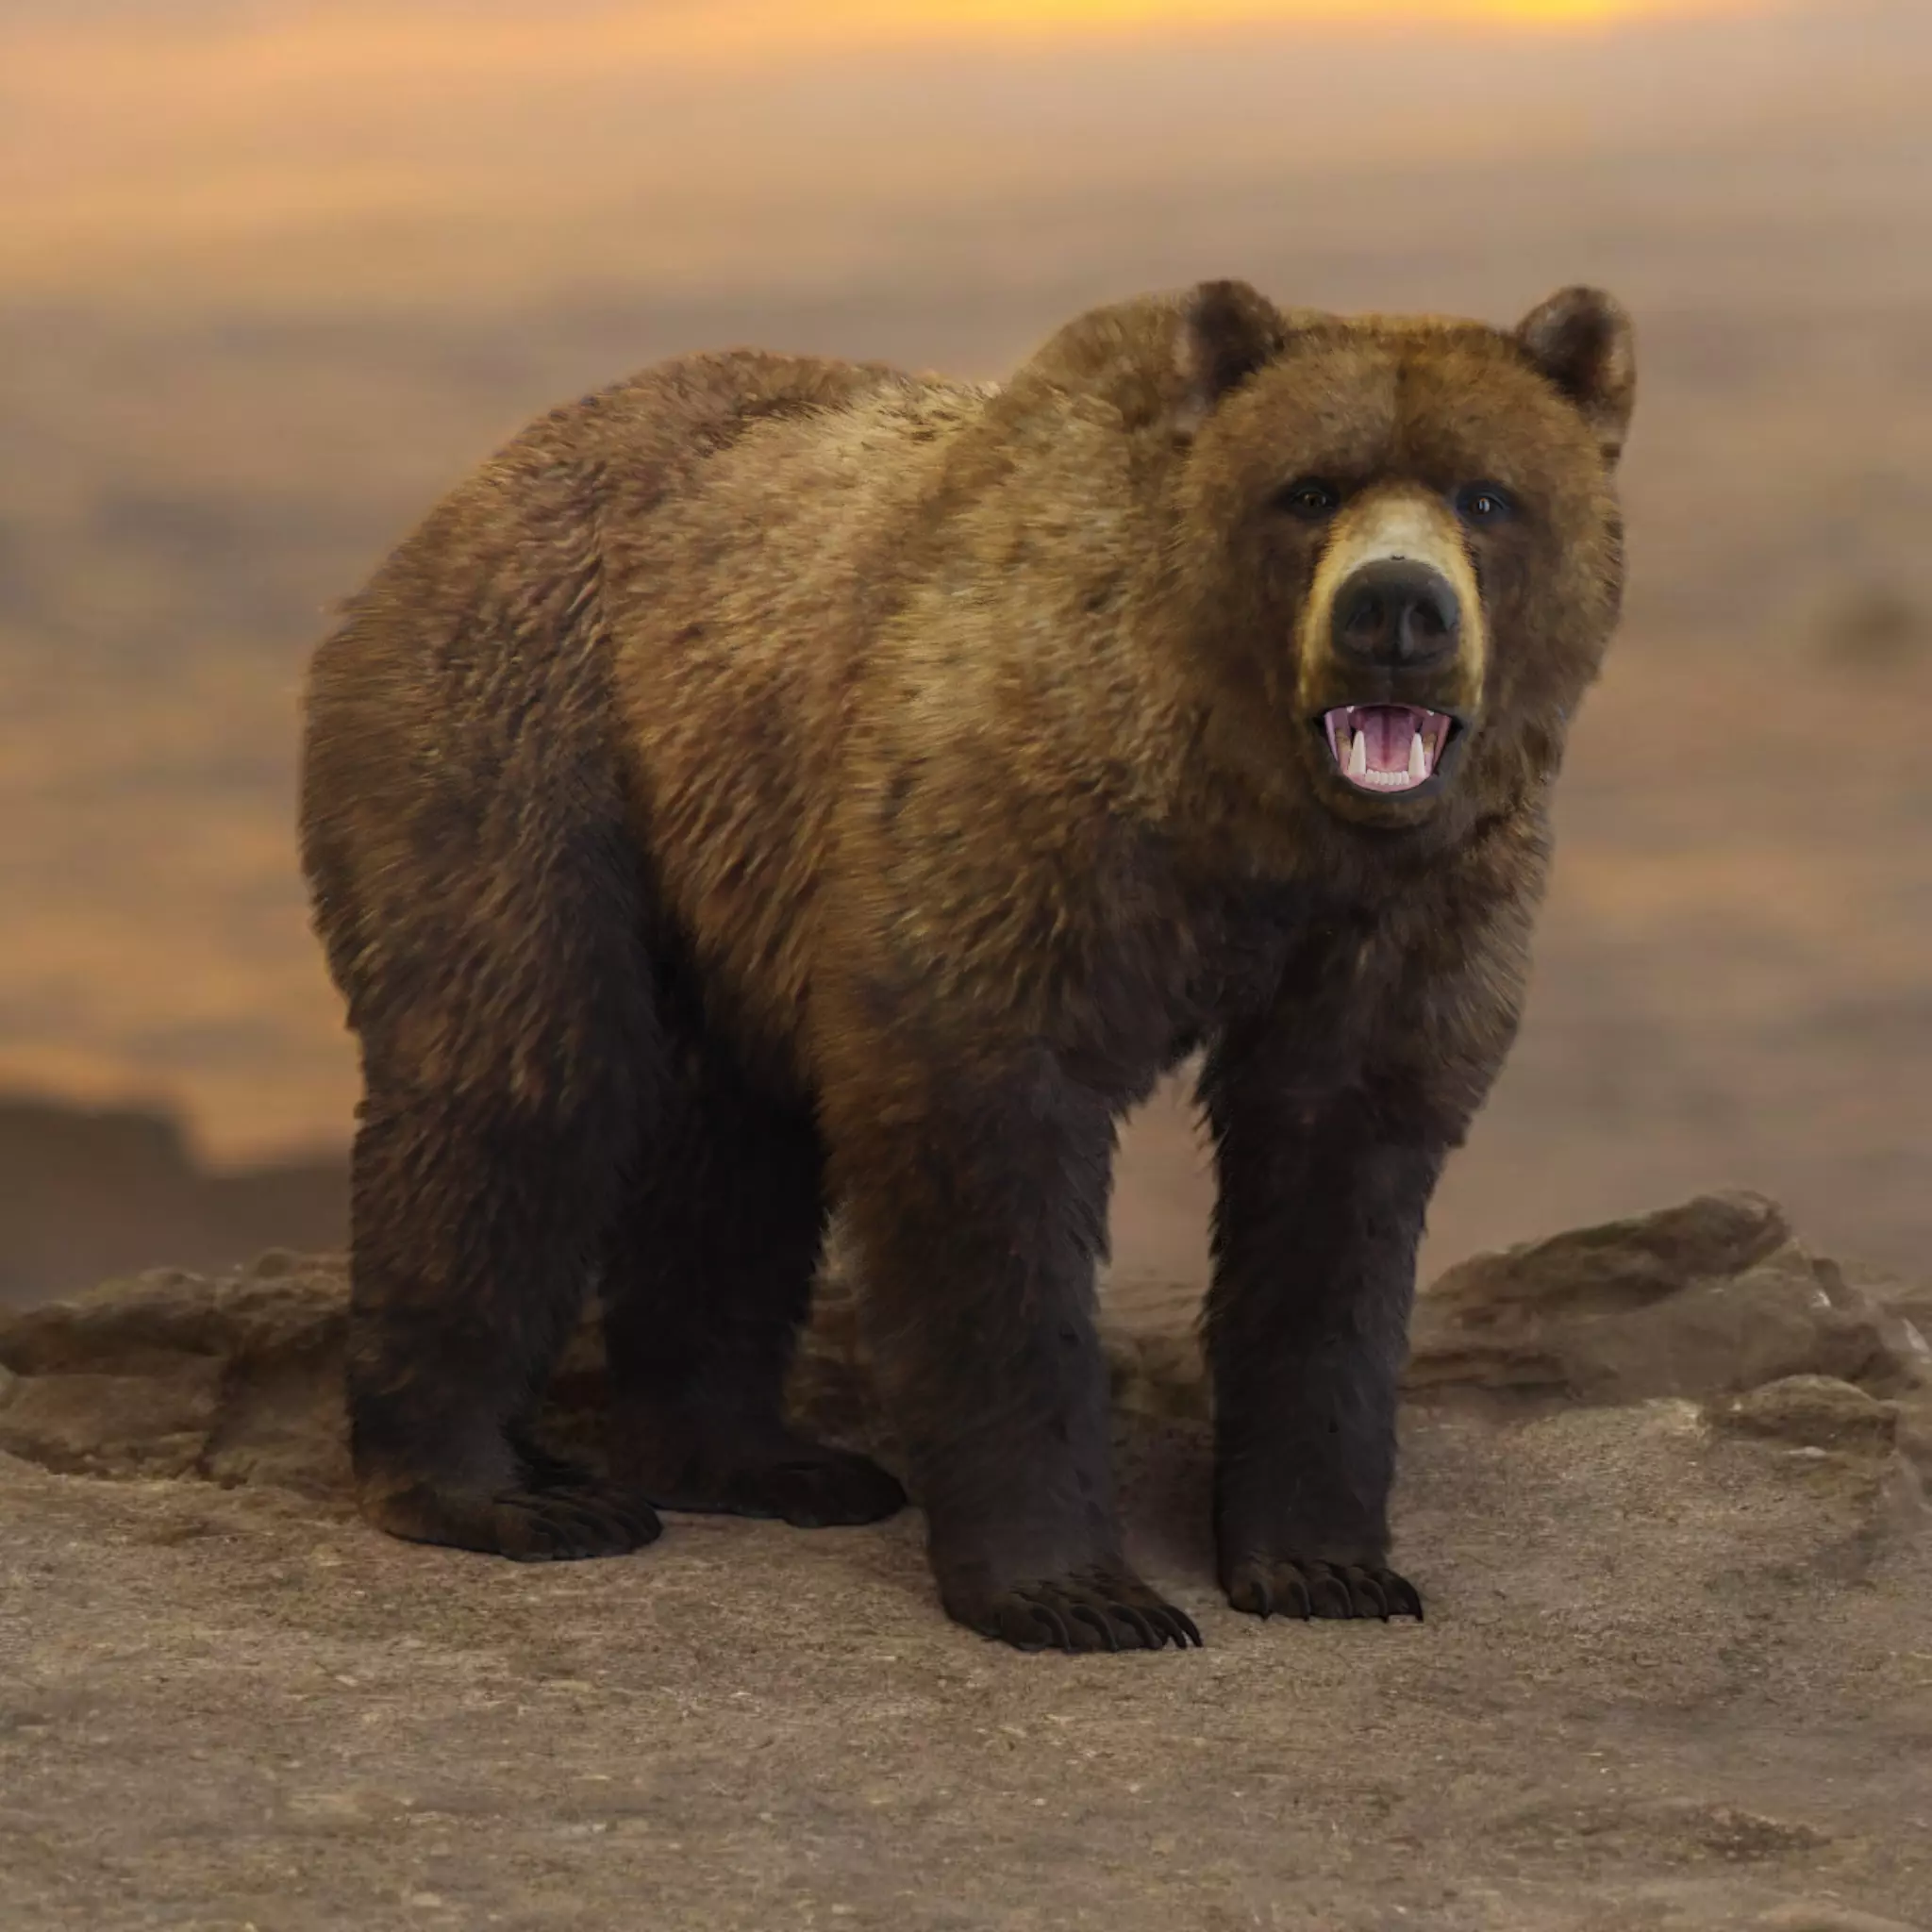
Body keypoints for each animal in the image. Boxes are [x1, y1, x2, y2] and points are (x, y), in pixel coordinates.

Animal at [299, 279, 1635, 1652]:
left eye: (1487, 495)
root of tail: (459, 497)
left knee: (730, 1143)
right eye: (1309, 489)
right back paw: (501, 1489)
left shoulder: (1412, 906)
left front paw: (1328, 1567)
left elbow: (1337, 1176)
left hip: (725, 852)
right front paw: (1074, 1592)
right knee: (523, 1073)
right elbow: (985, 1151)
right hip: (535, 736)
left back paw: (758, 1459)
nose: (1395, 613)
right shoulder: (1016, 817)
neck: (1248, 809)